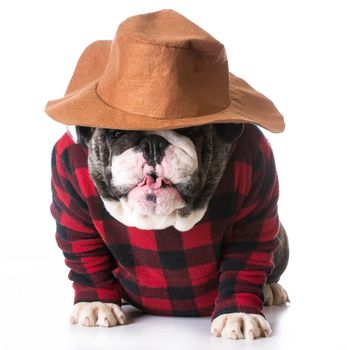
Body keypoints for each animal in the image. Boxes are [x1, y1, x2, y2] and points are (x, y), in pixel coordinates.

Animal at [51, 123, 290, 340]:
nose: (152, 143)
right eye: (116, 133)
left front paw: (239, 314)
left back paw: (270, 289)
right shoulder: (74, 208)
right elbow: (87, 256)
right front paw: (96, 303)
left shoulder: (255, 201)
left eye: (191, 129)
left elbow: (243, 262)